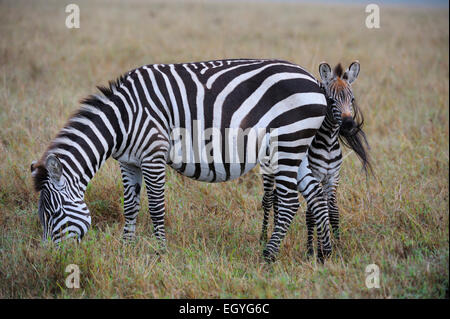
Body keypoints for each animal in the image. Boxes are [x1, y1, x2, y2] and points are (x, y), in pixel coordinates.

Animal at [30, 58, 326, 264]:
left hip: (287, 142)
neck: (122, 120)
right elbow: (130, 207)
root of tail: (315, 81)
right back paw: (323, 255)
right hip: (296, 148)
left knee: (289, 203)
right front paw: (126, 248)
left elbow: (156, 207)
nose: (48, 259)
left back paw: (268, 256)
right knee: (316, 194)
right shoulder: (128, 162)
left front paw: (160, 253)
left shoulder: (153, 155)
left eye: (53, 214)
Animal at [258, 61, 370, 262]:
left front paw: (337, 245)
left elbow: (332, 211)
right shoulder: (315, 174)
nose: (349, 125)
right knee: (268, 198)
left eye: (352, 100)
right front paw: (312, 250)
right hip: (268, 169)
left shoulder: (333, 176)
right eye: (331, 101)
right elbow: (312, 214)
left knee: (278, 197)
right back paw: (264, 237)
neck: (328, 143)